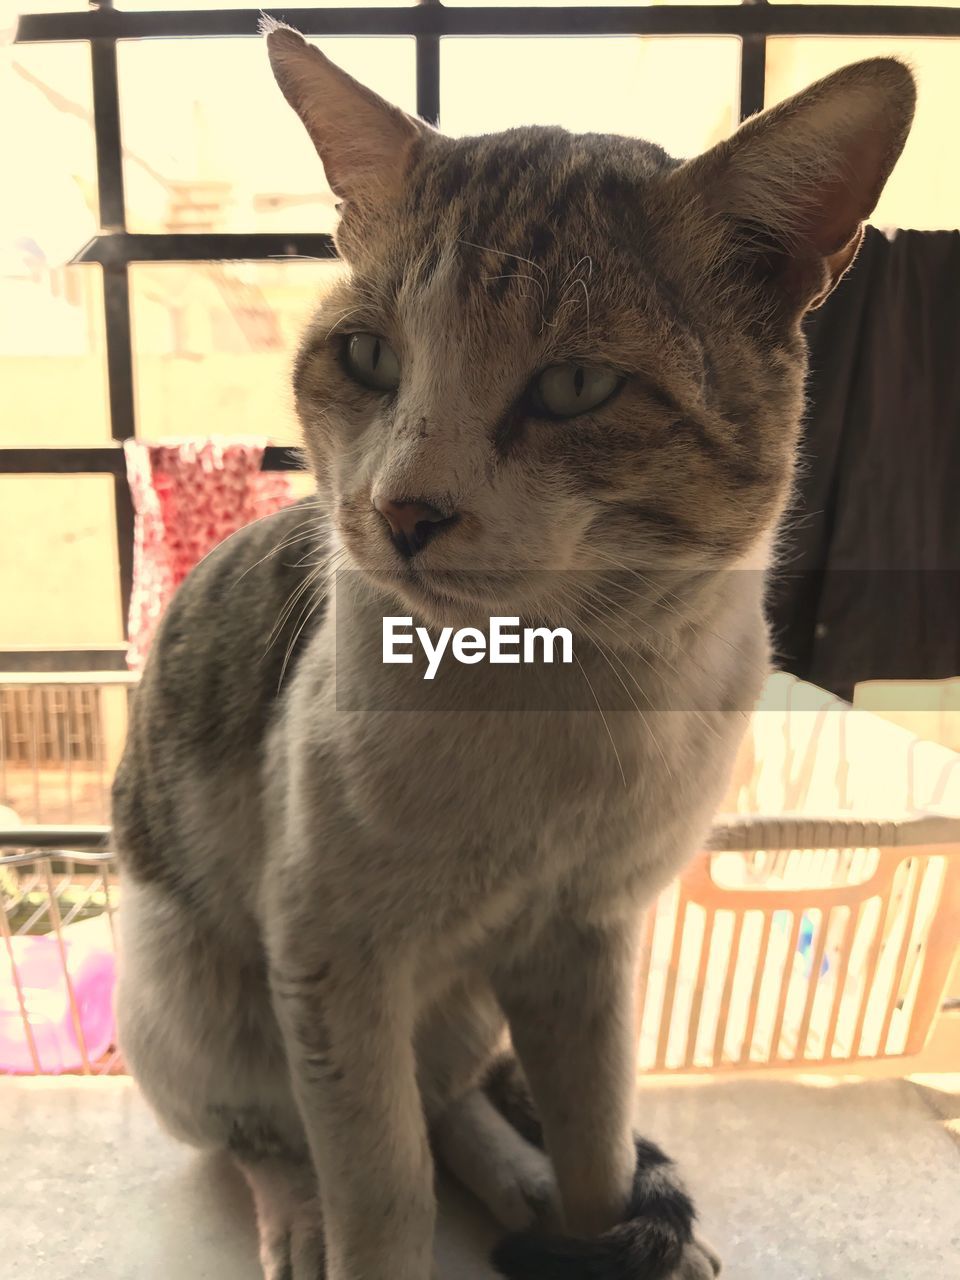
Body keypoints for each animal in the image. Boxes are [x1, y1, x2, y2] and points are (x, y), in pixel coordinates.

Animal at [112, 24, 916, 1280]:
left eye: (578, 384)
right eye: (368, 355)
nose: (402, 509)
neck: (555, 690)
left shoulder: (588, 946)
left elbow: (595, 1144)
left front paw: (595, 1226)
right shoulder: (331, 961)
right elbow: (382, 1191)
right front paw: (365, 1234)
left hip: (470, 1008)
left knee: (450, 1100)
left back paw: (533, 1191)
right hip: (193, 1000)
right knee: (271, 1127)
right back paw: (300, 1213)